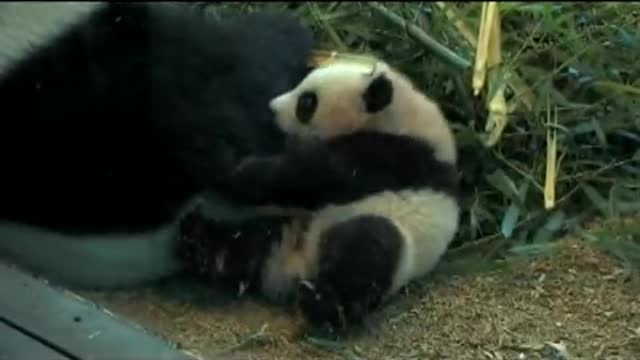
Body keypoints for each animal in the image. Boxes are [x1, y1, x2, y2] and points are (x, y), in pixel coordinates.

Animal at [178, 56, 462, 330]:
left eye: (307, 102)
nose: (272, 109)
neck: (400, 114)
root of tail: (292, 269)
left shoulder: (390, 156)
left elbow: (301, 176)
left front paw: (216, 158)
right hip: (286, 224)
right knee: (252, 237)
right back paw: (206, 247)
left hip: (394, 239)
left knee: (368, 249)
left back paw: (322, 303)